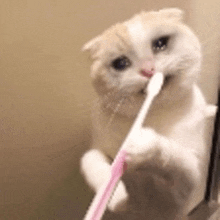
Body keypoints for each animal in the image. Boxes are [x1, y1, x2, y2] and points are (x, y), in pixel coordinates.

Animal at [79, 7, 217, 219]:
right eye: (120, 63)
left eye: (160, 44)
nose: (148, 70)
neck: (152, 115)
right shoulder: (97, 148)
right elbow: (92, 162)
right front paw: (115, 193)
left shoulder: (186, 181)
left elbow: (171, 154)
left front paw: (142, 144)